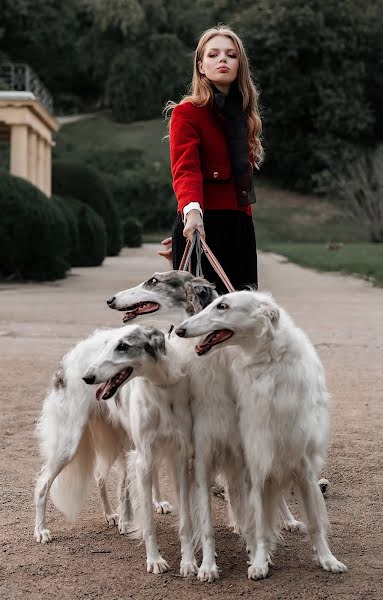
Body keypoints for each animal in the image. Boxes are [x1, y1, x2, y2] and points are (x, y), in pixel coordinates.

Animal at [34, 326, 174, 548]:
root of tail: (66, 360)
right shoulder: (137, 444)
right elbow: (128, 486)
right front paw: (128, 523)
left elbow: (144, 479)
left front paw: (157, 502)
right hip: (69, 443)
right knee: (42, 484)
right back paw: (41, 530)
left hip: (114, 438)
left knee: (100, 476)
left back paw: (110, 514)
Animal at [106, 270, 304, 580]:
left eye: (153, 281)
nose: (111, 300)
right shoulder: (198, 451)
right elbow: (203, 513)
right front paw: (206, 561)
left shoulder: (238, 447)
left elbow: (250, 507)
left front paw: (256, 550)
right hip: (137, 443)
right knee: (129, 478)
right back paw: (127, 518)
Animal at [176, 290, 350, 576]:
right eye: (214, 303)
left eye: (223, 306)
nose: (180, 330)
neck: (269, 364)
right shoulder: (257, 461)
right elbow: (259, 524)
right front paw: (259, 562)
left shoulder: (302, 463)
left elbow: (315, 522)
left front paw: (328, 559)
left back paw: (290, 522)